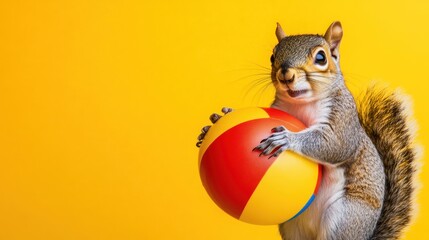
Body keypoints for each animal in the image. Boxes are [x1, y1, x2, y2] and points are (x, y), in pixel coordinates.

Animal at [196, 21, 418, 239]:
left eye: (321, 57)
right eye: (272, 56)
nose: (285, 74)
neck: (301, 103)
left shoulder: (343, 118)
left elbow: (336, 145)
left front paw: (286, 139)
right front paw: (218, 120)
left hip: (344, 219)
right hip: (293, 227)